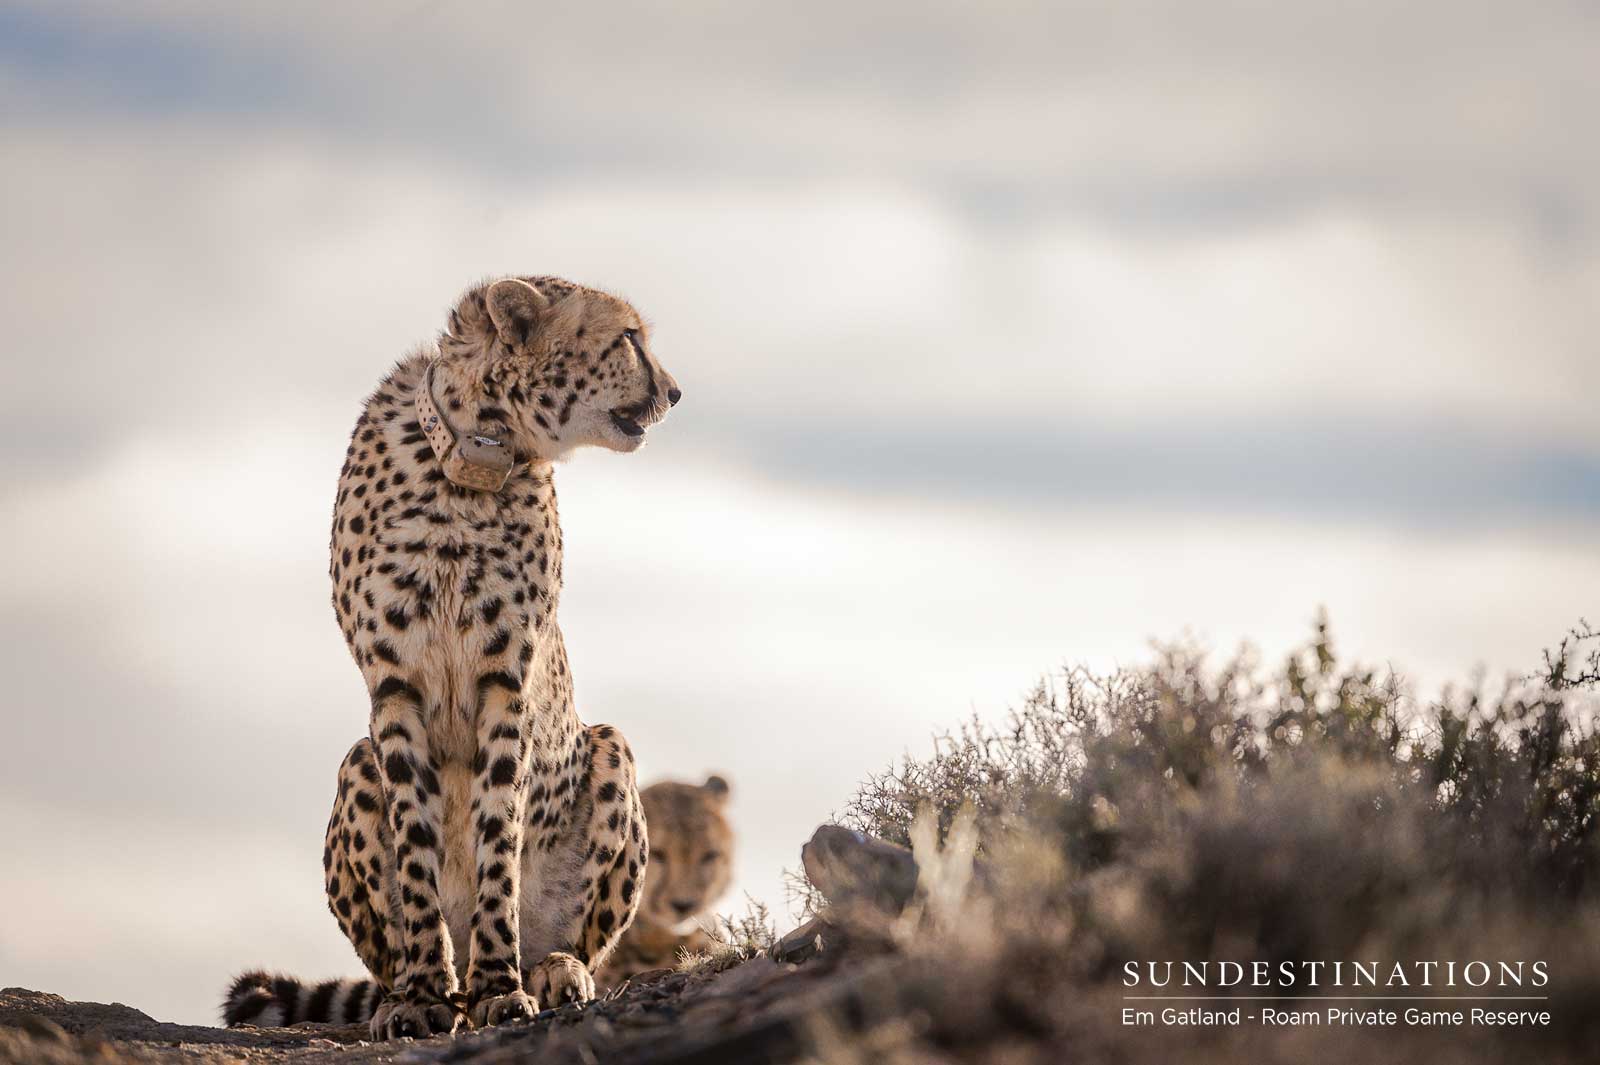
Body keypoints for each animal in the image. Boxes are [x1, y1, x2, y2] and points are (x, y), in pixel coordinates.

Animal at [222, 275, 681, 1039]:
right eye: (627, 337)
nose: (674, 392)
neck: (472, 466)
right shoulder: (394, 687)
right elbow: (416, 849)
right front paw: (421, 996)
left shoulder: (506, 683)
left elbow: (499, 834)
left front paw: (501, 986)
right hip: (356, 763)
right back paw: (419, 987)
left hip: (610, 746)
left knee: (572, 938)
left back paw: (549, 970)